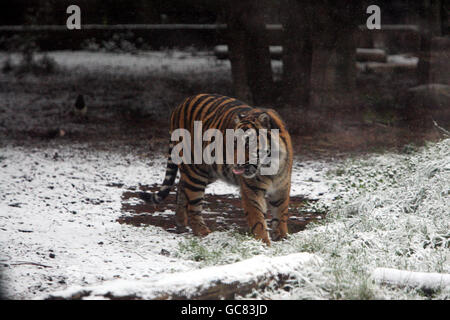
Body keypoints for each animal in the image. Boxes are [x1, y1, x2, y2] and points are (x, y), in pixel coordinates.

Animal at [141, 93, 296, 245]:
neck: (269, 165)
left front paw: (282, 237)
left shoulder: (282, 186)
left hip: (209, 172)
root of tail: (179, 105)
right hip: (196, 172)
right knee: (193, 205)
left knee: (181, 187)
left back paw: (181, 223)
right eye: (234, 143)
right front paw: (263, 243)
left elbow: (281, 214)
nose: (235, 164)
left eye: (248, 143)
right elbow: (257, 219)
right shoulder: (251, 190)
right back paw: (204, 233)